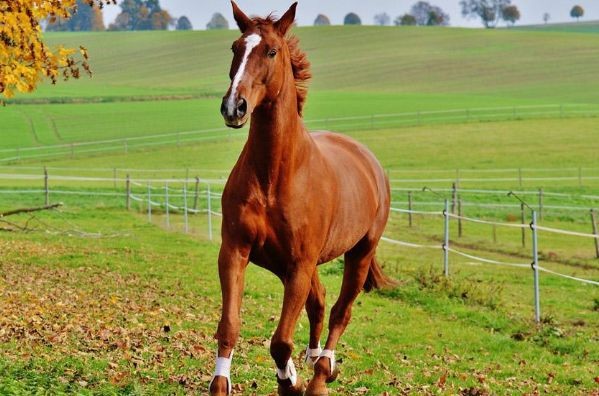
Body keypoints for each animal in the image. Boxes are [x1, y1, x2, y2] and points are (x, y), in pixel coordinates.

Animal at [211, 1, 394, 394]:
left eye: (271, 51)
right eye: (235, 48)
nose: (234, 107)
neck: (274, 176)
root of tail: (370, 162)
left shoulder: (299, 264)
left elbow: (281, 341)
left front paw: (290, 383)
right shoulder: (235, 252)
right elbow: (229, 326)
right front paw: (222, 383)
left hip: (359, 253)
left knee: (340, 311)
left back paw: (322, 372)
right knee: (320, 302)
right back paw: (312, 361)